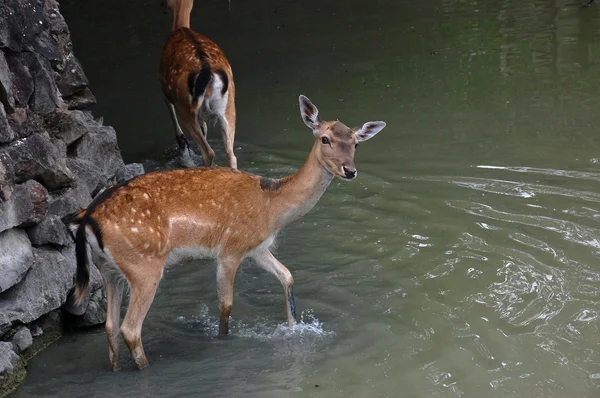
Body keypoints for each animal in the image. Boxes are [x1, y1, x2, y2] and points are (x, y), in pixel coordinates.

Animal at [71, 95, 390, 372]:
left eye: (355, 143)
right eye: (325, 139)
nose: (350, 170)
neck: (272, 206)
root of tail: (86, 219)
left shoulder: (258, 247)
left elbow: (287, 277)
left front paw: (293, 328)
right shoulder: (231, 249)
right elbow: (226, 305)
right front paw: (224, 339)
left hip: (109, 269)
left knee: (111, 325)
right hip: (143, 266)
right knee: (130, 327)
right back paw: (144, 367)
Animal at [159, 0, 239, 168]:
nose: (162, 7)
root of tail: (208, 72)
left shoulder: (163, 84)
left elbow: (169, 107)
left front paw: (183, 147)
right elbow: (205, 128)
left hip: (186, 107)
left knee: (208, 152)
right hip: (229, 106)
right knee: (231, 154)